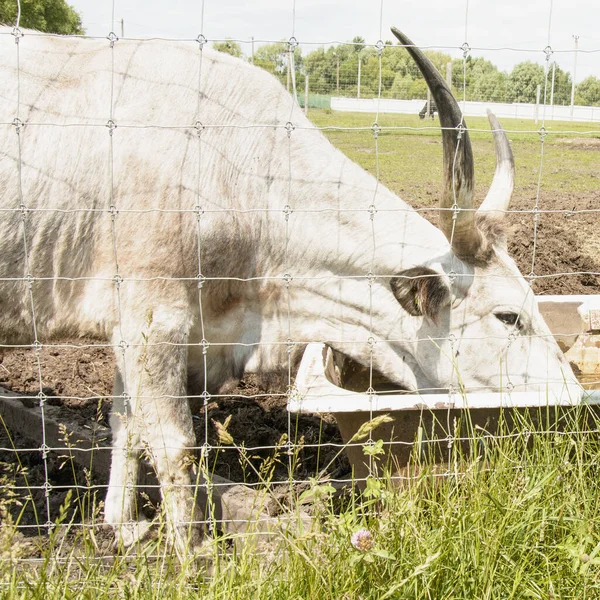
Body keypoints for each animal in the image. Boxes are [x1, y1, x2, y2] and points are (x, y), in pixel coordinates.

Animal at [0, 24, 576, 556]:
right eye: (508, 317)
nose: (570, 390)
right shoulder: (152, 317)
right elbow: (172, 442)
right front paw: (192, 554)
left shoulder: (142, 330)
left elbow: (125, 423)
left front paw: (122, 525)